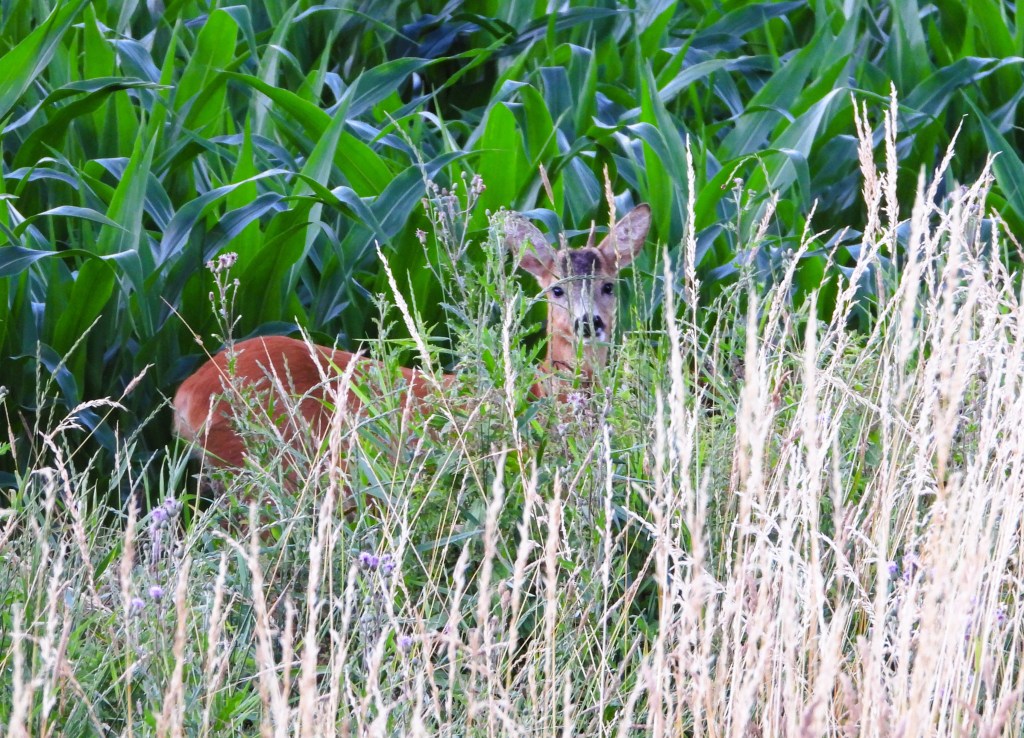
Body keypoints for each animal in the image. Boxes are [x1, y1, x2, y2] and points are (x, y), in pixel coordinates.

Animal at [172, 204, 651, 476]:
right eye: (556, 290)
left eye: (609, 285)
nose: (589, 323)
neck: (542, 392)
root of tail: (186, 394)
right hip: (255, 462)